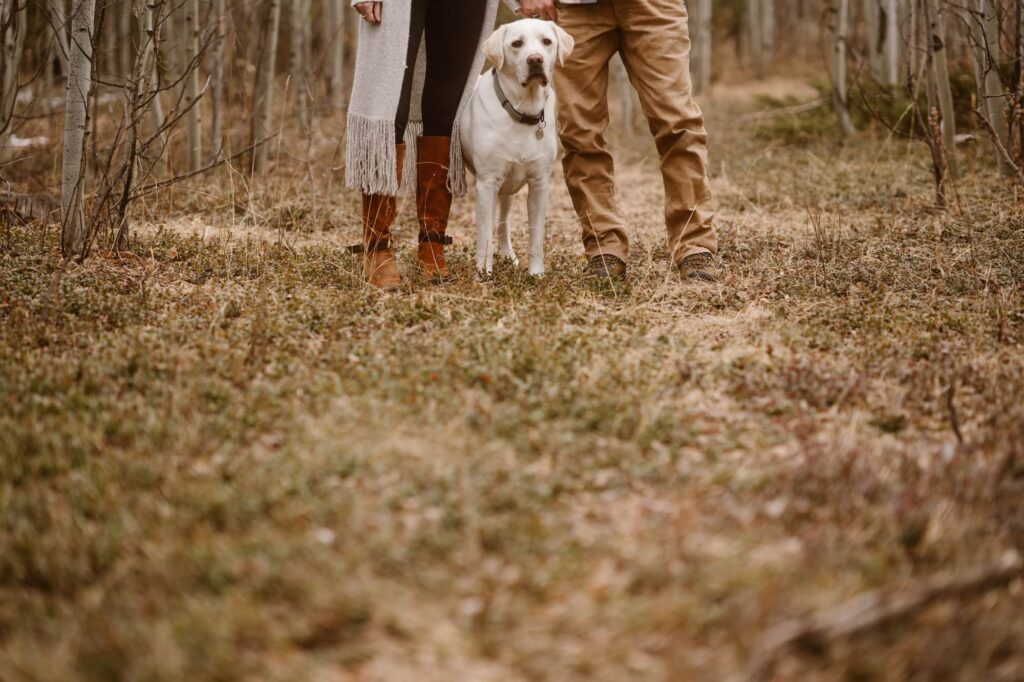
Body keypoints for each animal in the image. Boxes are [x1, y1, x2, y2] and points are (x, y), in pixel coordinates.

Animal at [462, 21, 577, 276]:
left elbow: (536, 236)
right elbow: (484, 236)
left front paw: (536, 273)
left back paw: (507, 255)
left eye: (547, 41)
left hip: (508, 189)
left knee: (503, 223)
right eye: (516, 44)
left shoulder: (539, 184)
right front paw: (483, 272)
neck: (523, 110)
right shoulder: (487, 183)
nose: (535, 59)